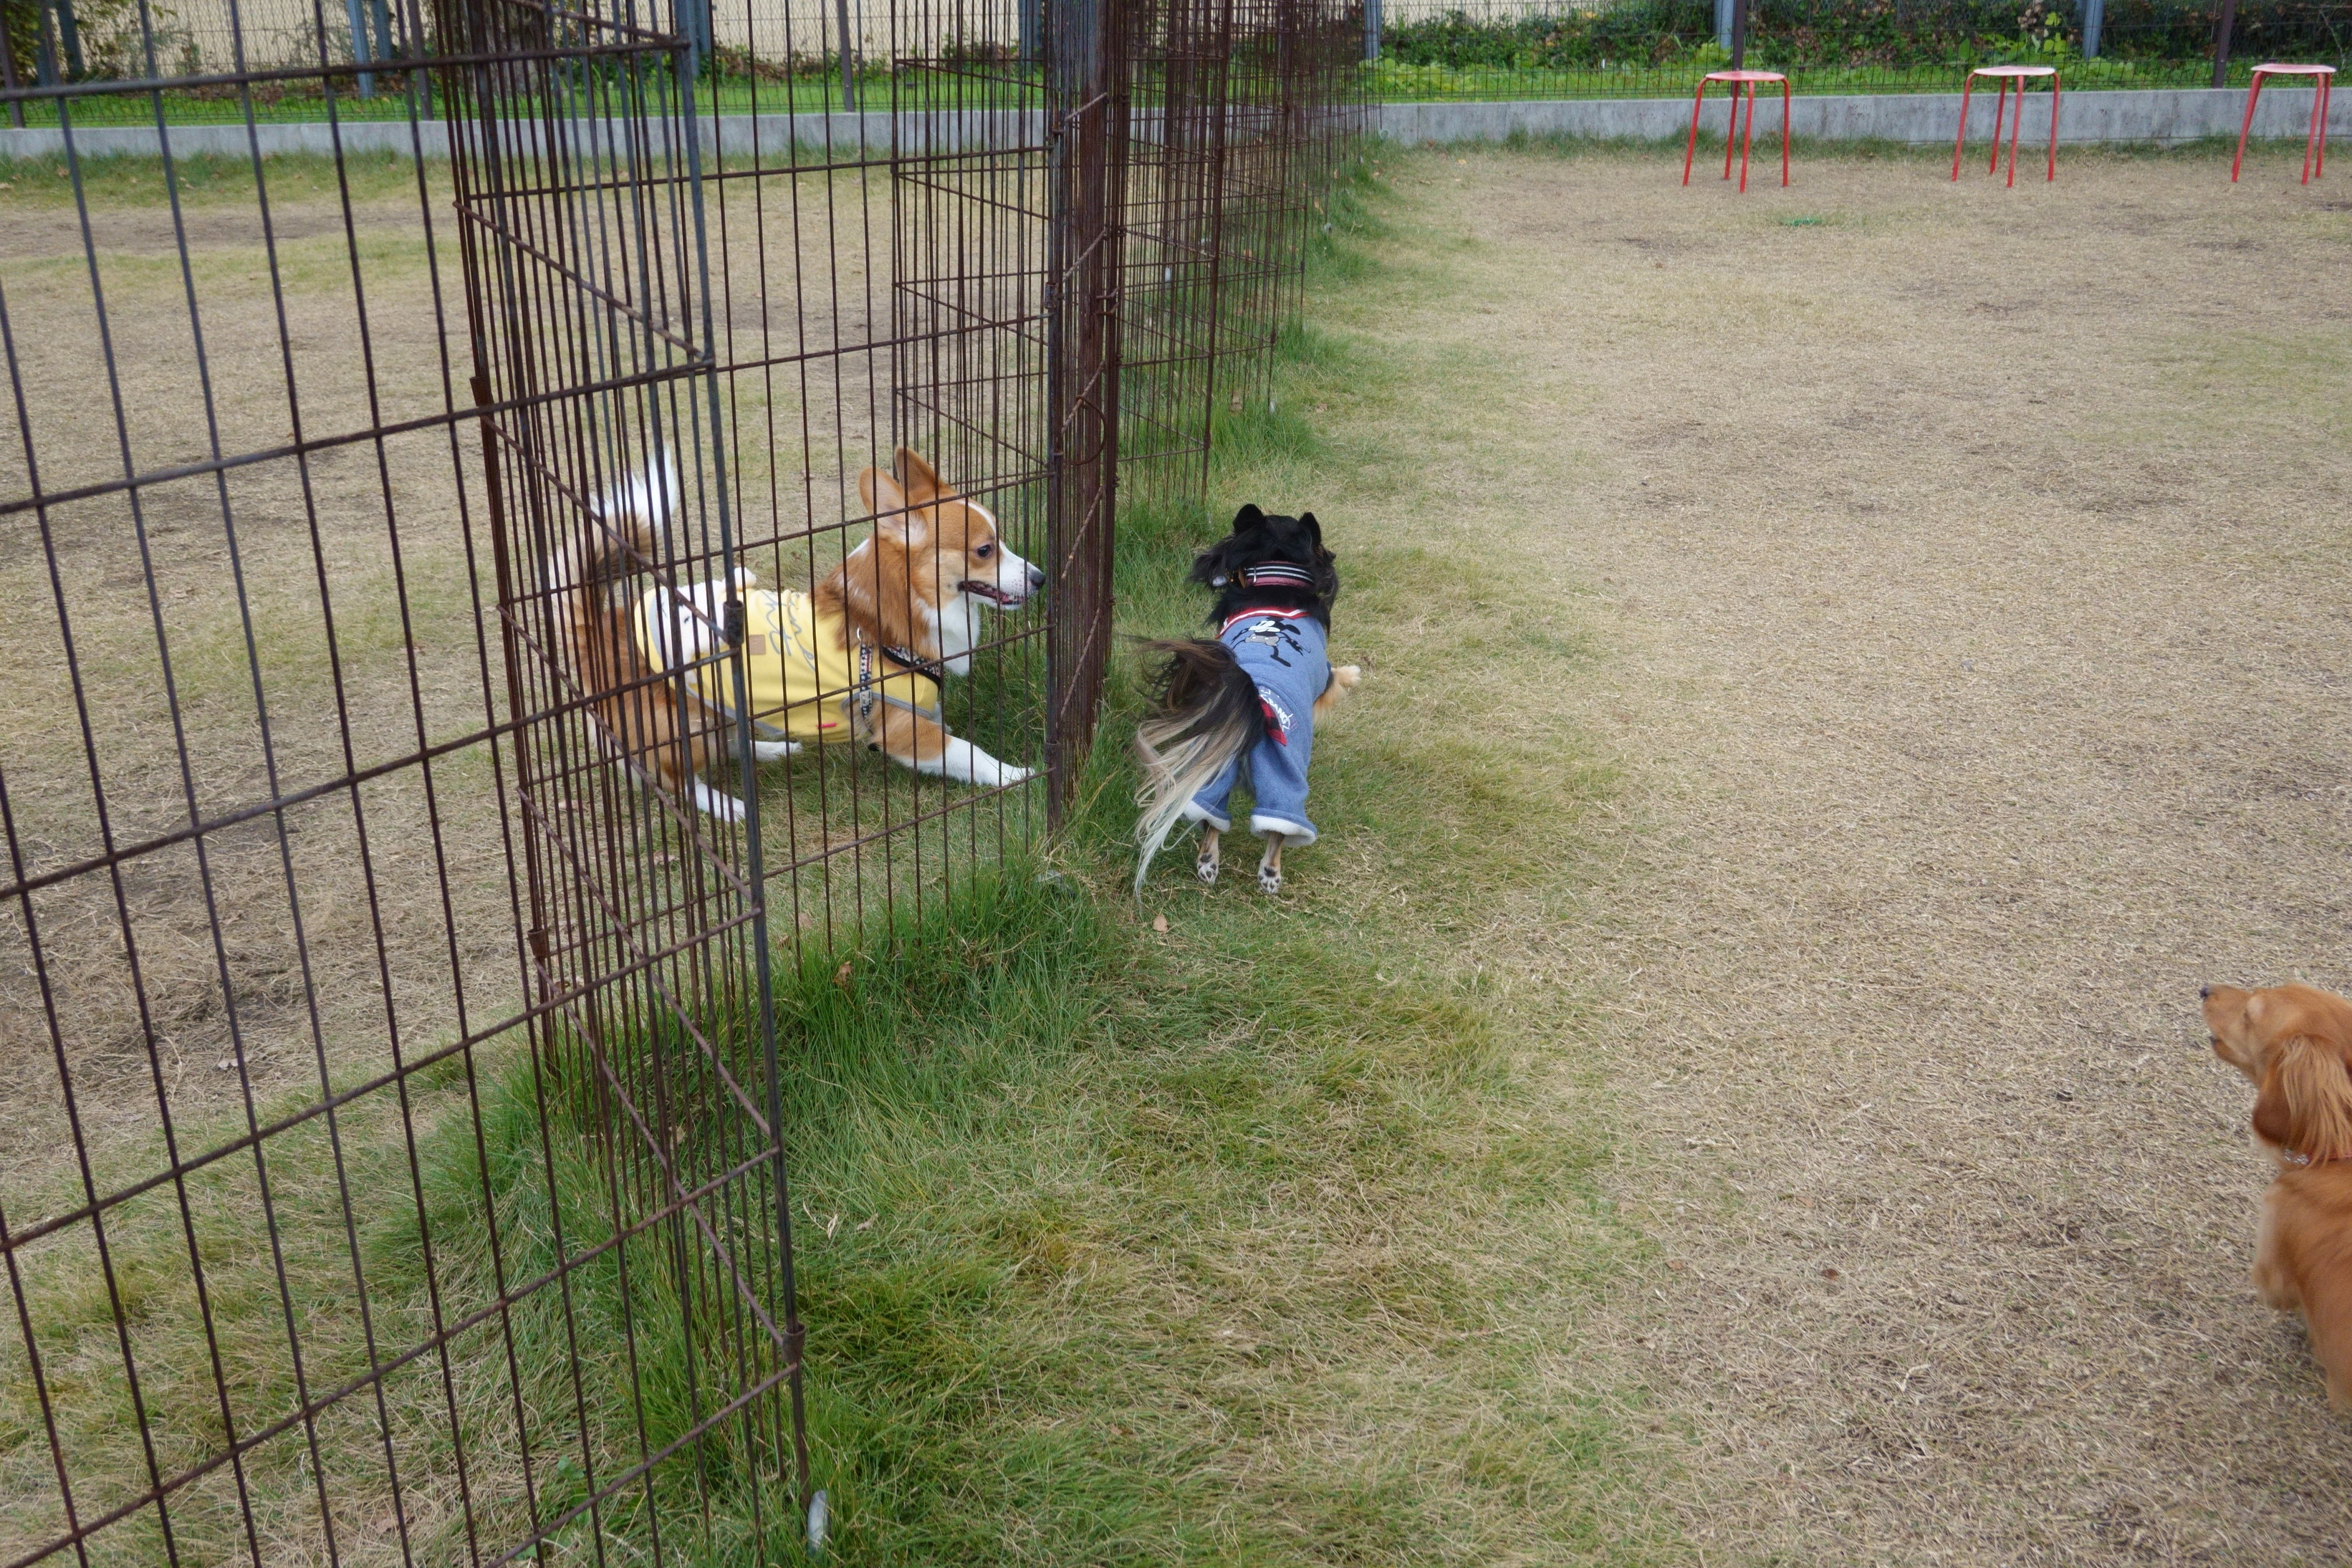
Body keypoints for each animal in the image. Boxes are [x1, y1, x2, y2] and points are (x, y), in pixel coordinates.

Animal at [1133, 505, 1364, 893]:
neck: (1277, 579)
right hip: (1286, 775)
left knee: (1212, 820)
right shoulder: (1325, 674)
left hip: (1215, 768)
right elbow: (1337, 678)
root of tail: (1258, 708)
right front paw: (1354, 674)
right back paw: (1270, 874)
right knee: (1278, 830)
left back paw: (1208, 864)